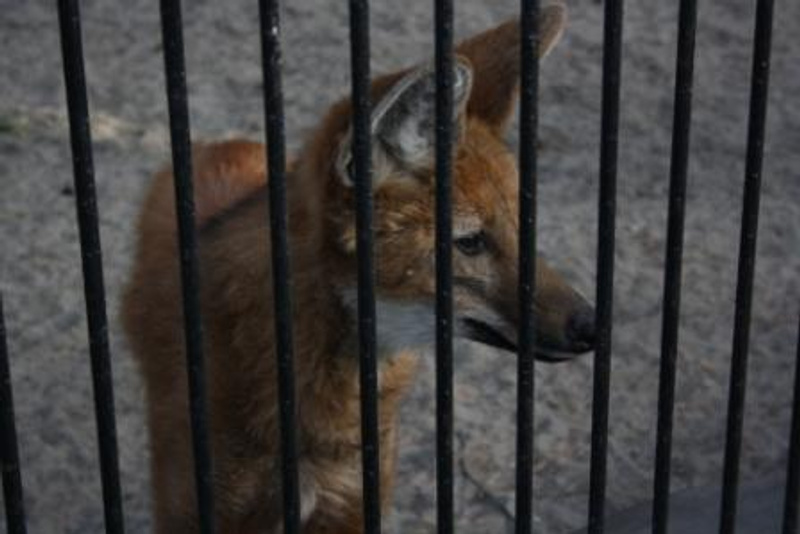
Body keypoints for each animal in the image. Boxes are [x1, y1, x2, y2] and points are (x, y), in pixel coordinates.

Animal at [122, 4, 595, 533]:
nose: (592, 326)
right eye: (470, 242)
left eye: (521, 226)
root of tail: (223, 144)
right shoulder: (202, 507)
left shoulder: (350, 501)